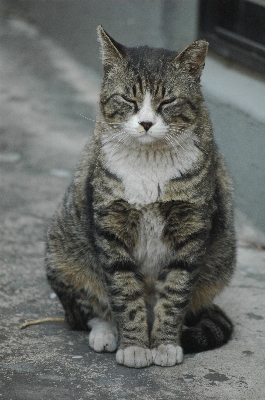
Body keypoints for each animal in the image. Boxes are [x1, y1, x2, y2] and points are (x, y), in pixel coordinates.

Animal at [44, 25, 235, 368]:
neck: (149, 164)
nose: (146, 123)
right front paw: (133, 346)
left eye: (168, 100)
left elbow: (175, 292)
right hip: (63, 254)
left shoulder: (191, 225)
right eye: (127, 98)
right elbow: (123, 290)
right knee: (85, 310)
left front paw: (165, 345)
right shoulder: (111, 223)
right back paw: (106, 332)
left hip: (222, 262)